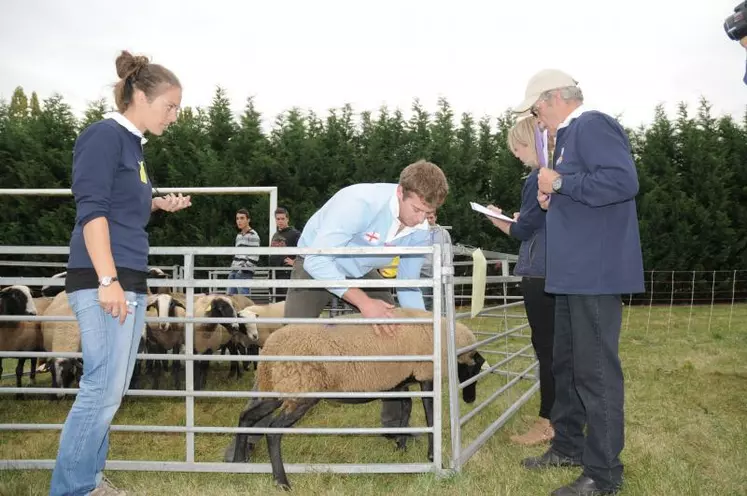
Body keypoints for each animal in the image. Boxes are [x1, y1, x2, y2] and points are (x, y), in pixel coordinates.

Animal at [225, 308, 488, 490]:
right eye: (475, 370)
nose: (470, 399)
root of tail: (269, 350)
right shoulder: (425, 375)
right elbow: (430, 415)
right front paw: (432, 456)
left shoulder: (398, 382)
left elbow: (405, 410)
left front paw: (400, 446)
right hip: (302, 391)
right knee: (272, 431)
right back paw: (282, 482)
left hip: (283, 387)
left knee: (246, 416)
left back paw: (238, 463)